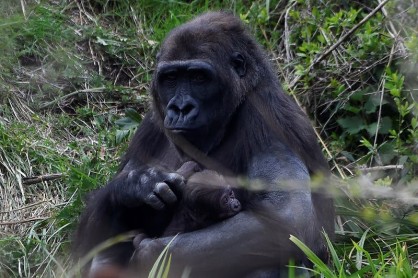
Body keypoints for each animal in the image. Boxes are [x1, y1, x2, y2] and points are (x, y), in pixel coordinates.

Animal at [75, 11, 334, 278]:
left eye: (198, 77)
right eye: (171, 78)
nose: (181, 108)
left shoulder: (269, 114)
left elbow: (288, 217)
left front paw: (153, 254)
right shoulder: (150, 124)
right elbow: (88, 239)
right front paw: (135, 184)